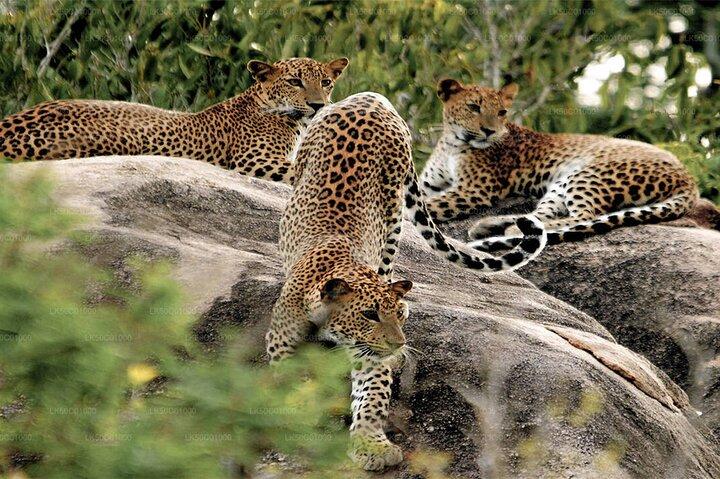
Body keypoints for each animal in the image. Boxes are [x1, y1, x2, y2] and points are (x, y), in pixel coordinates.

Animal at [267, 91, 546, 471]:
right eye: (369, 314)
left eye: (397, 315)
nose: (399, 343)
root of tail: (370, 97)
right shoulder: (281, 341)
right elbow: (286, 381)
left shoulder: (370, 354)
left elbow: (371, 395)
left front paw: (372, 446)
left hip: (394, 214)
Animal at [419, 79, 699, 252]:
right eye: (473, 107)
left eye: (502, 113)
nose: (490, 131)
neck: (452, 142)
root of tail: (689, 178)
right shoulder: (428, 182)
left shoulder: (474, 189)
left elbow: (430, 205)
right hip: (563, 181)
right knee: (540, 216)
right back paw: (490, 225)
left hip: (587, 174)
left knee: (583, 216)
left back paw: (505, 229)